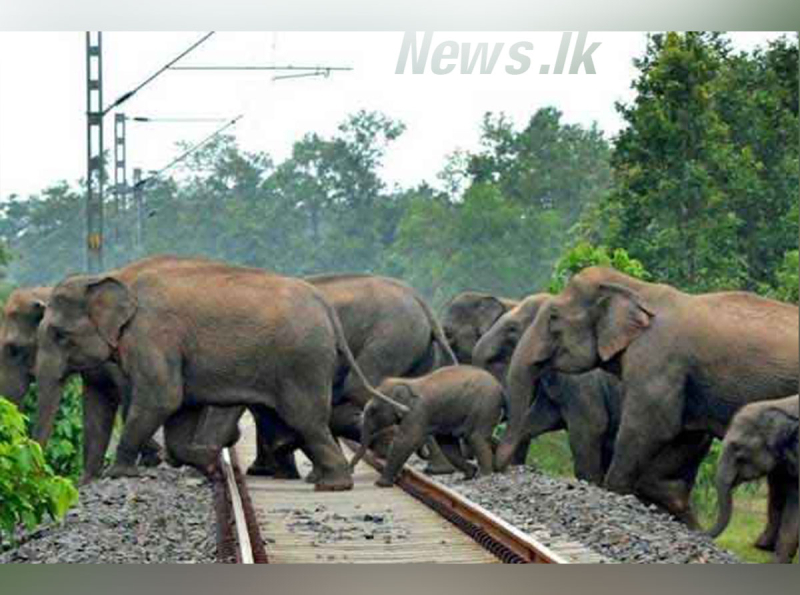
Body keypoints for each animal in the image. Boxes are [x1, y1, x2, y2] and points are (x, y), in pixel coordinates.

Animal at [31, 258, 406, 492]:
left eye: (59, 335)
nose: (41, 474)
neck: (112, 276)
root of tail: (325, 307)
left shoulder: (153, 336)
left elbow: (162, 397)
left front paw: (119, 473)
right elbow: (177, 412)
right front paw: (211, 465)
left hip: (303, 361)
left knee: (306, 419)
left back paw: (333, 485)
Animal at [348, 366, 504, 486]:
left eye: (373, 410)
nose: (351, 470)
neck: (406, 381)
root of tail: (500, 387)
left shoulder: (416, 412)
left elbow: (406, 441)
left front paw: (381, 484)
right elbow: (444, 445)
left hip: (486, 405)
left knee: (475, 437)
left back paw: (484, 476)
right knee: (455, 444)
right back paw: (470, 475)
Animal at [496, 266, 796, 502]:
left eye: (553, 318)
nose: (497, 469)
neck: (637, 288)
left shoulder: (658, 360)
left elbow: (650, 426)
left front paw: (612, 492)